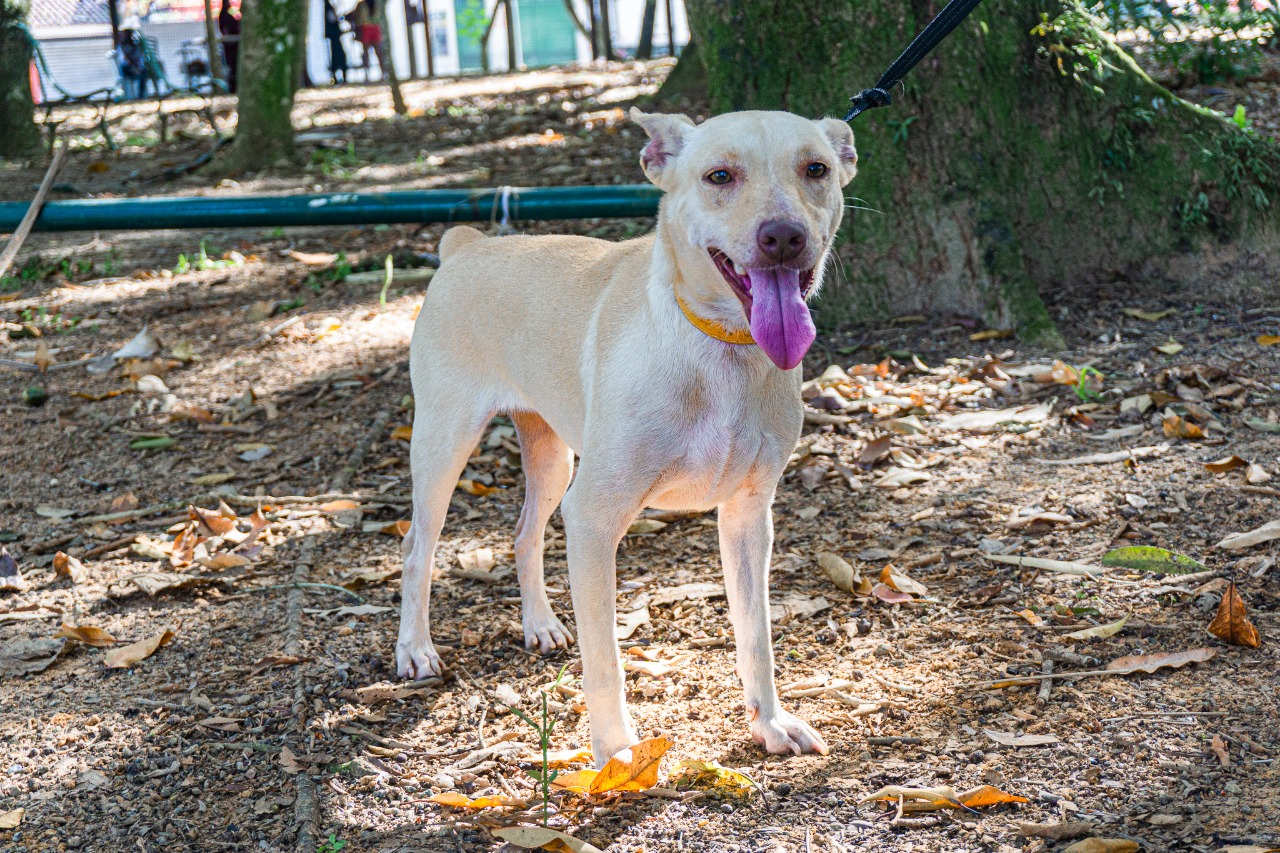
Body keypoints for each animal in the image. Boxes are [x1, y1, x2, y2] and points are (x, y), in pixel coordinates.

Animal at [396, 108, 860, 763]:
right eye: (720, 175)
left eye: (815, 169)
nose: (784, 237)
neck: (719, 346)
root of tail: (467, 246)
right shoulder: (593, 519)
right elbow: (605, 662)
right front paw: (617, 755)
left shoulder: (748, 517)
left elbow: (756, 634)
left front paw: (769, 722)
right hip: (444, 445)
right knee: (419, 547)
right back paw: (414, 649)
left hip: (553, 460)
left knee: (524, 533)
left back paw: (540, 624)